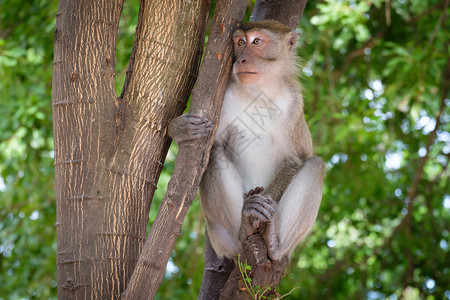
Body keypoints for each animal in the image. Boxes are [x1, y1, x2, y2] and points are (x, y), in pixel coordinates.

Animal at [169, 19, 324, 262]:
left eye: (257, 41)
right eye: (240, 43)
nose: (241, 58)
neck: (258, 90)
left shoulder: (295, 103)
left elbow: (296, 160)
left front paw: (263, 202)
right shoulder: (222, 100)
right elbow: (211, 145)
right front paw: (179, 129)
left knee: (316, 165)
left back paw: (274, 243)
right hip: (221, 239)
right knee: (214, 155)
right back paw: (244, 228)